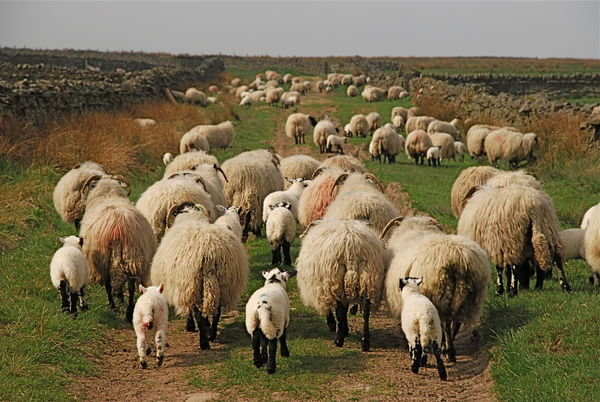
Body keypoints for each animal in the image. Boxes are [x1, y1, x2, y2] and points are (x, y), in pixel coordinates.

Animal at [79, 174, 157, 322]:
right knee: (130, 285)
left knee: (109, 283)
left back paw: (113, 306)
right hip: (132, 255)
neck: (108, 194)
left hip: (102, 259)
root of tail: (117, 226)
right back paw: (129, 312)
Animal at [152, 201, 251, 348]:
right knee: (216, 311)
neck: (190, 217)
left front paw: (190, 326)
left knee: (199, 313)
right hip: (224, 282)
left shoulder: (183, 285)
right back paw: (212, 334)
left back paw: (204, 341)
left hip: (193, 282)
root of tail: (209, 252)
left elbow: (189, 310)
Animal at [296, 218, 384, 350]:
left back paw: (339, 340)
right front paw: (345, 329)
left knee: (340, 311)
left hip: (335, 279)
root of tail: (351, 249)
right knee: (365, 310)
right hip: (368, 278)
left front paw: (333, 325)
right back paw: (365, 342)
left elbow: (330, 309)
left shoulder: (322, 286)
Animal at [384, 215, 492, 362]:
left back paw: (448, 351)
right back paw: (449, 349)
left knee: (445, 324)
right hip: (469, 298)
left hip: (439, 296)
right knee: (456, 322)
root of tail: (457, 257)